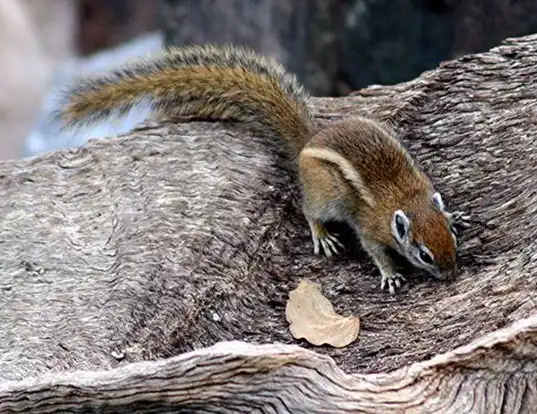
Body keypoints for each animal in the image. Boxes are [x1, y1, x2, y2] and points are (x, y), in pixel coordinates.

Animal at [58, 43, 466, 292]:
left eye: (451, 238)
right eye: (424, 255)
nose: (451, 274)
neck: (406, 198)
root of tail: (308, 140)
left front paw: (456, 213)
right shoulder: (370, 228)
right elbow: (376, 251)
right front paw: (391, 274)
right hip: (326, 197)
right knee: (308, 210)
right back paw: (322, 235)